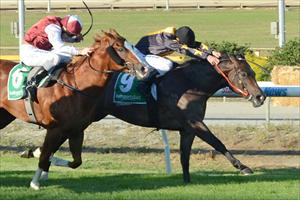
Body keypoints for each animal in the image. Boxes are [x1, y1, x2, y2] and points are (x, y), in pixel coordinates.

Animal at [0, 29, 141, 189]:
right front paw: (35, 182)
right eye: (120, 48)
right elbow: (45, 155)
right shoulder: (54, 129)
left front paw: (34, 154)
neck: (77, 86)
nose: (143, 68)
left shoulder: (75, 131)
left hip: (4, 115)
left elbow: (75, 161)